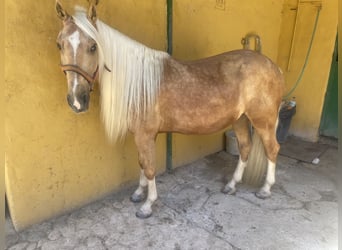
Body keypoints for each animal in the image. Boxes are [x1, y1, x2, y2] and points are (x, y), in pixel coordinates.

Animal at [55, 0, 284, 218]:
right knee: (245, 147)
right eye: (59, 45)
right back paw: (231, 185)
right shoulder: (144, 136)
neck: (139, 83)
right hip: (241, 119)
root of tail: (273, 67)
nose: (77, 100)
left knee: (272, 149)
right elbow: (141, 163)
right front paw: (138, 193)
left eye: (93, 46)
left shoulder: (145, 135)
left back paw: (265, 189)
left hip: (263, 121)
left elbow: (149, 167)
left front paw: (147, 205)